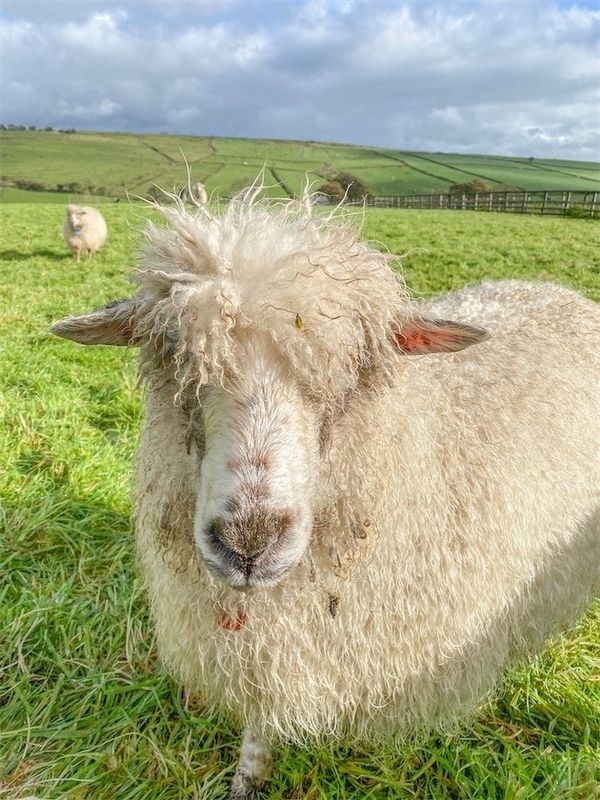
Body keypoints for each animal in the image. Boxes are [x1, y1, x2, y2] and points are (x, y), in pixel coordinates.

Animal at [51, 191, 600, 799]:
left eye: (353, 370)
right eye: (176, 357)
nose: (248, 544)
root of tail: (552, 287)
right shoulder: (265, 649)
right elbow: (259, 719)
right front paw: (248, 775)